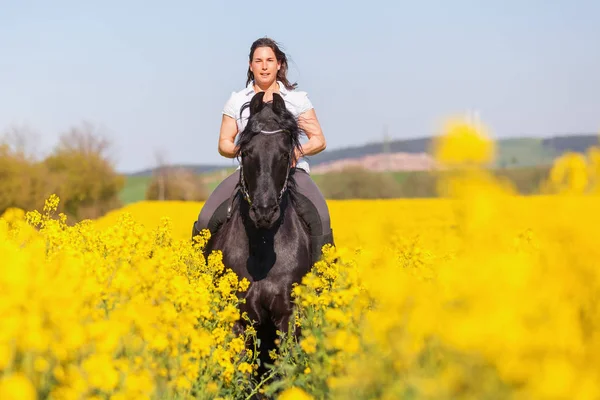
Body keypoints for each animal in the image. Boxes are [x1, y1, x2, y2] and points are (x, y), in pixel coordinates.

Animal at [195, 92, 314, 376]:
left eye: (285, 154)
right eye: (247, 152)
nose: (264, 211)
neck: (262, 245)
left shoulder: (287, 316)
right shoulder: (239, 316)